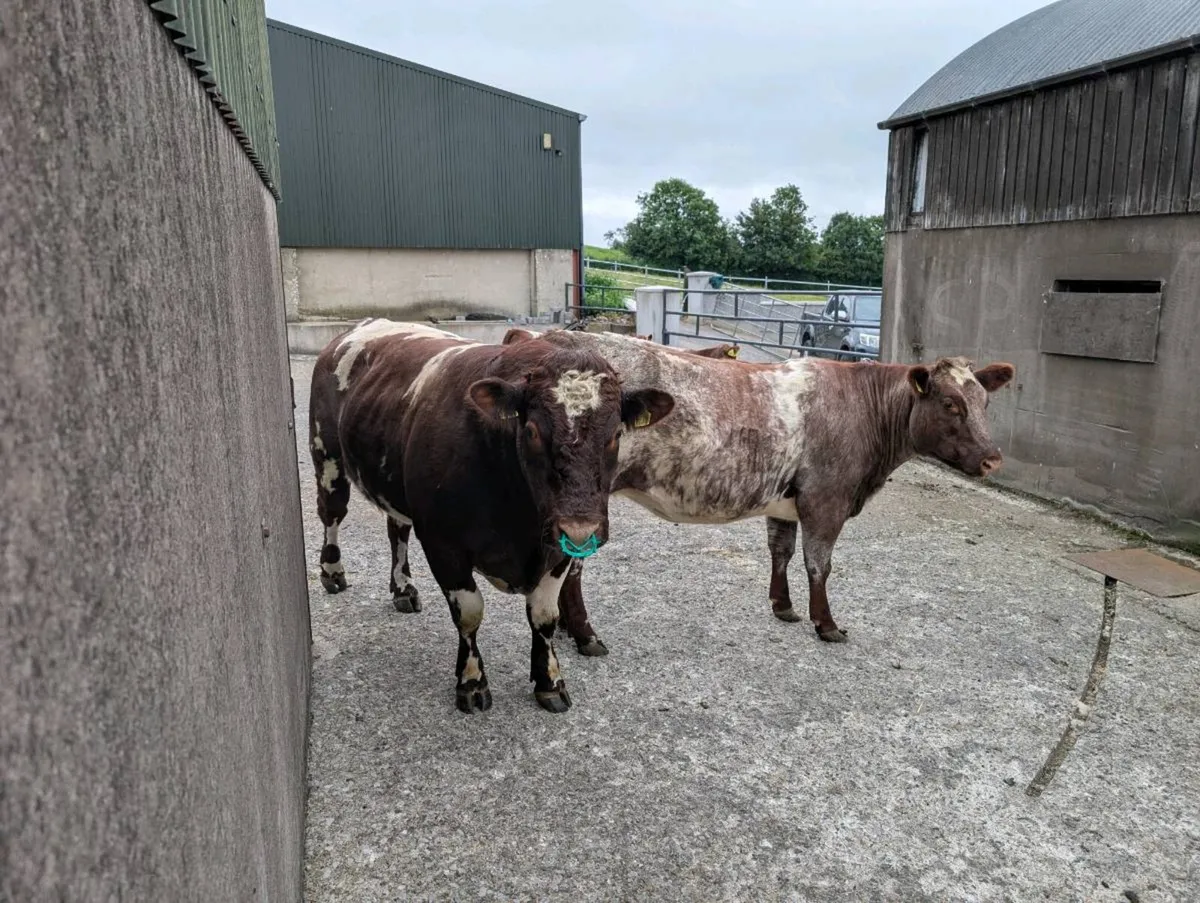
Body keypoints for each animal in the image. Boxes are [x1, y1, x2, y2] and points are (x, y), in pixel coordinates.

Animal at [308, 319, 675, 713]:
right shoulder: (443, 543)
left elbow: (544, 616)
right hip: (327, 455)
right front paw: (472, 682)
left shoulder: (559, 546)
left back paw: (403, 588)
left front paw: (550, 681)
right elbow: (470, 613)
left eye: (616, 434)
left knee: (397, 529)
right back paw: (332, 572)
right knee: (332, 514)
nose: (582, 528)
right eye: (531, 430)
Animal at [499, 328, 1015, 655]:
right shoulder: (826, 498)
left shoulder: (785, 501)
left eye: (985, 402)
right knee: (574, 569)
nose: (994, 458)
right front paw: (827, 624)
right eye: (949, 404)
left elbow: (781, 551)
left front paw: (783, 606)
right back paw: (586, 635)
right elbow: (819, 564)